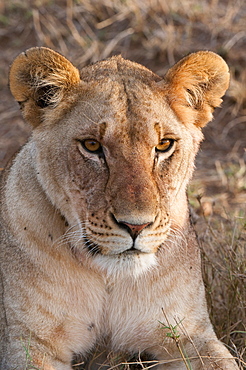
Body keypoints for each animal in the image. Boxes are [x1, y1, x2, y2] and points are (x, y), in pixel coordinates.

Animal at [0, 47, 238, 368]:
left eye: (164, 145)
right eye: (91, 145)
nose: (136, 226)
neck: (111, 279)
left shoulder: (191, 334)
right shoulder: (28, 343)